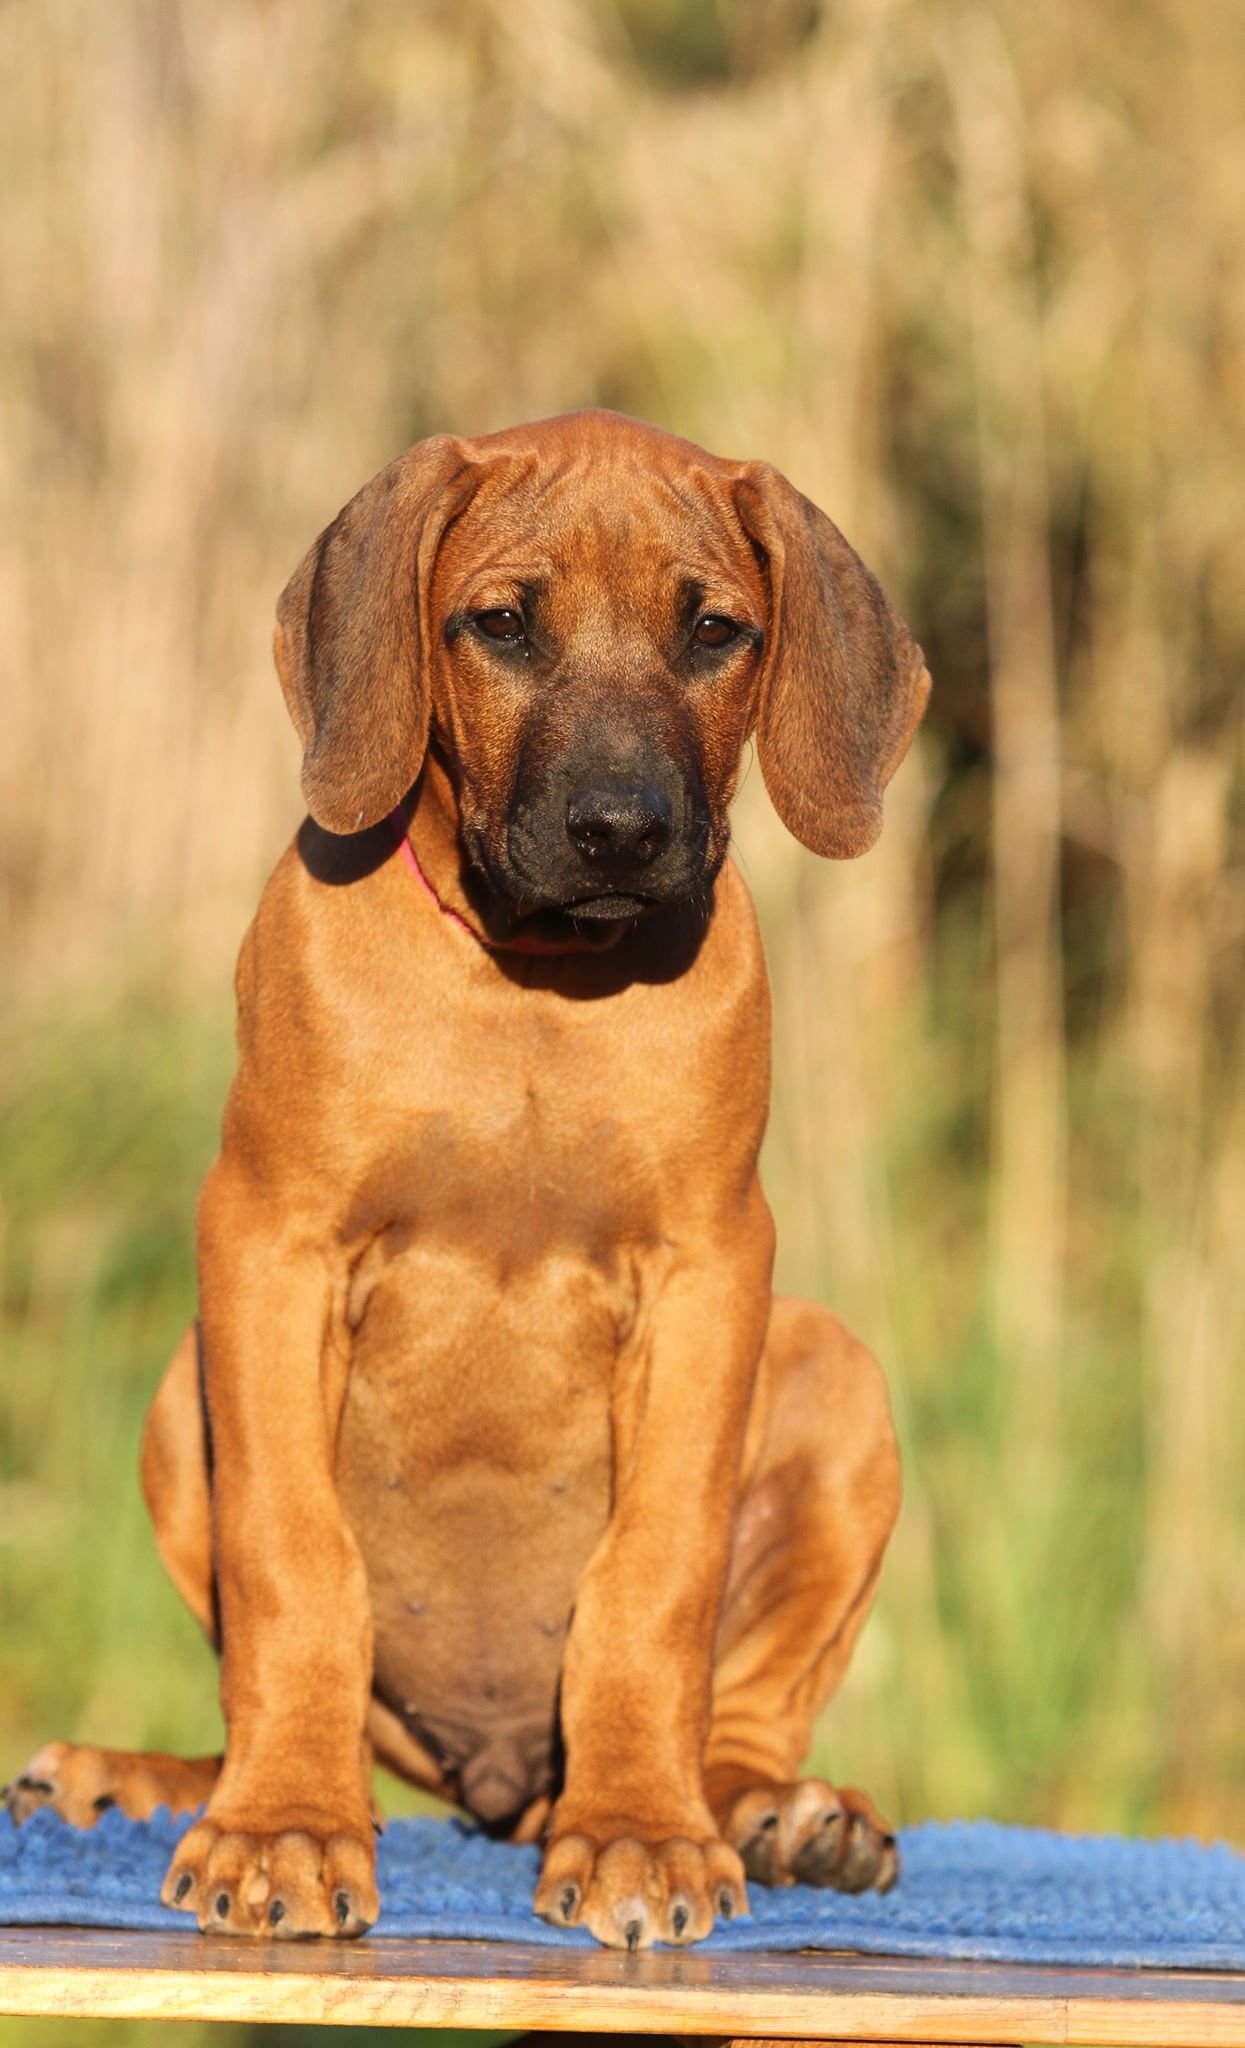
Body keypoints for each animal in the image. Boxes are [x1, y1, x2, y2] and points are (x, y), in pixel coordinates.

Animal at [4, 403, 925, 1949]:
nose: (621, 829)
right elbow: (295, 1562)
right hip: (178, 1394)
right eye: (499, 624)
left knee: (737, 1724)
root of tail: (495, 1783)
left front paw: (640, 1832)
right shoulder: (268, 1241)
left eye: (715, 631)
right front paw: (283, 1825)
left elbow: (654, 1576)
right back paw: (151, 1777)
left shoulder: (711, 1271)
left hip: (838, 1376)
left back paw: (773, 1815)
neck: (533, 984)